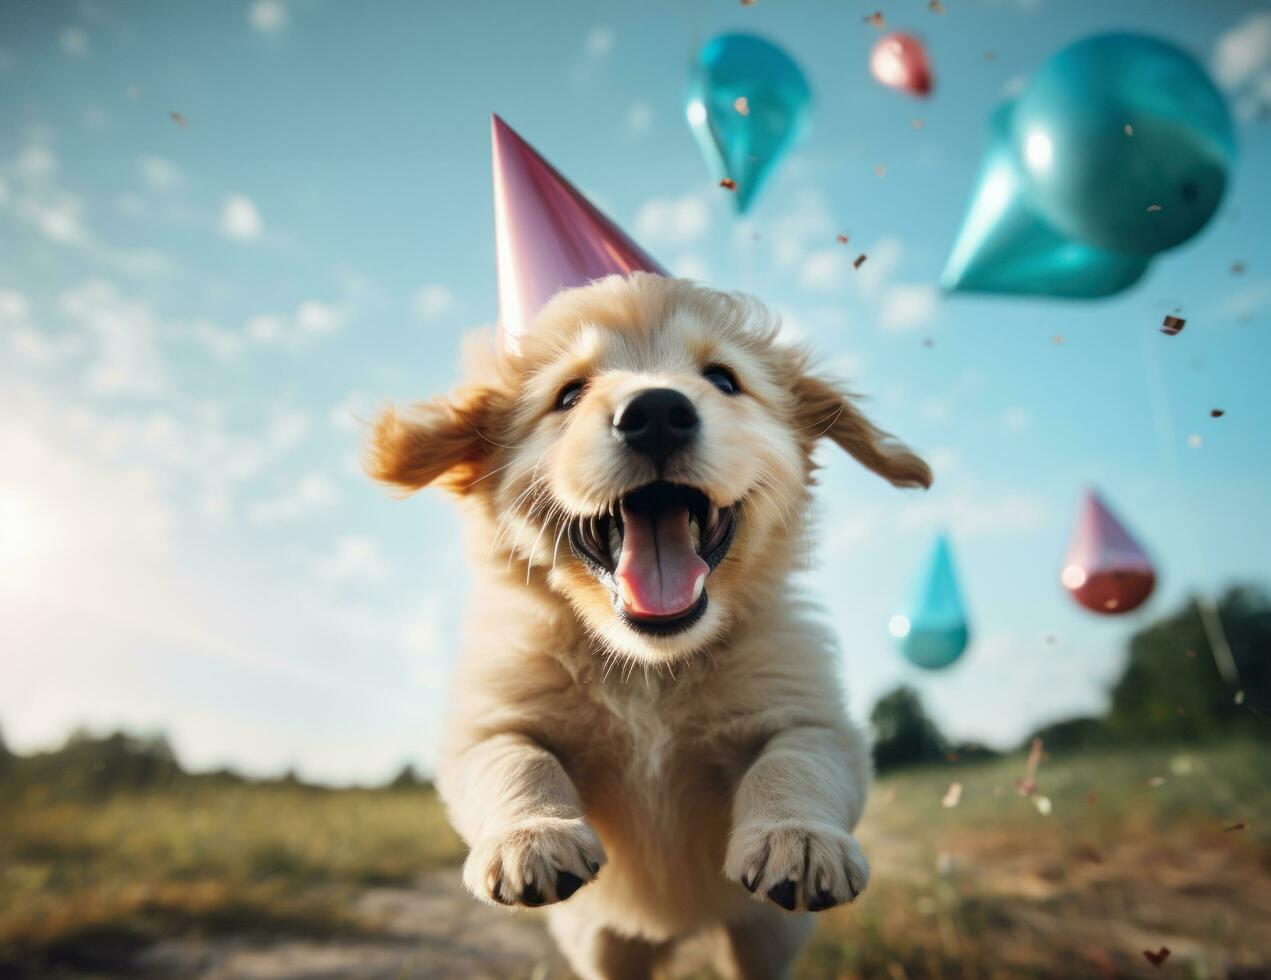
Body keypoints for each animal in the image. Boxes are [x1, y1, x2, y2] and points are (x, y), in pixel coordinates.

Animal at [363, 270, 930, 980]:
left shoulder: (813, 713)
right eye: (569, 394)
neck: (650, 668)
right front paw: (532, 836)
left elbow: (793, 760)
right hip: (608, 943)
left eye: (723, 379)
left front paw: (795, 837)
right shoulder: (490, 720)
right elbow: (515, 758)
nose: (656, 411)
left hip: (760, 937)